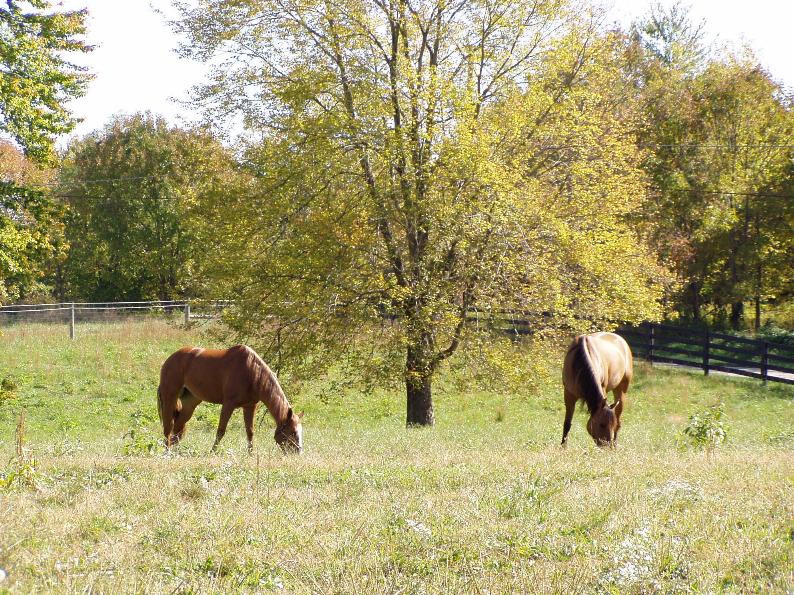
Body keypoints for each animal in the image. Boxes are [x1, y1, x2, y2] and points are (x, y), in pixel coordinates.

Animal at [156, 344, 302, 452]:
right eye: (293, 432)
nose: (298, 452)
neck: (252, 372)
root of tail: (170, 359)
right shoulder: (228, 404)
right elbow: (221, 430)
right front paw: (212, 452)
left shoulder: (250, 406)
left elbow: (250, 432)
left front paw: (251, 454)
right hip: (170, 397)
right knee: (168, 427)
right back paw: (167, 452)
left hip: (190, 403)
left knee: (178, 427)